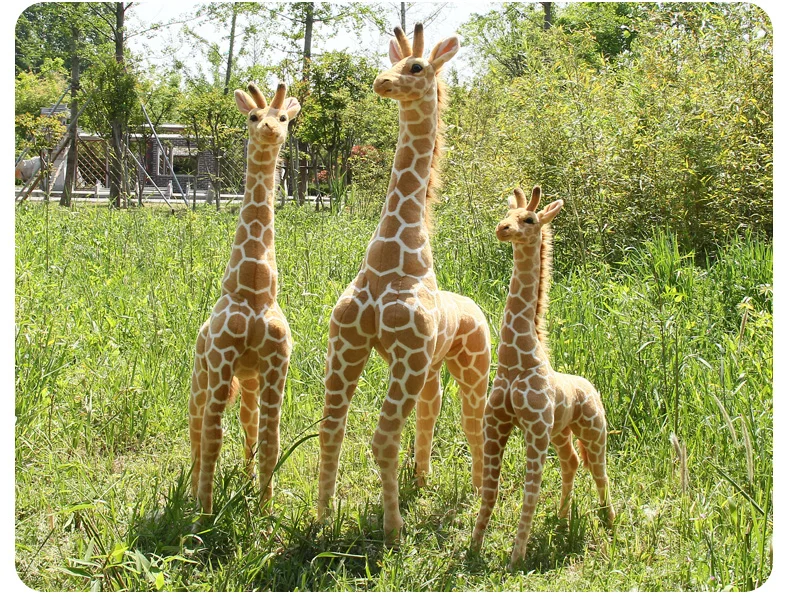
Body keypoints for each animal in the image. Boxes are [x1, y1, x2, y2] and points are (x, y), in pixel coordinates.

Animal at [188, 82, 301, 515]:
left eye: (284, 117)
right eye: (253, 116)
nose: (270, 129)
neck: (253, 291)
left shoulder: (275, 366)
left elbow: (271, 439)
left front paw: (265, 512)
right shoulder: (221, 362)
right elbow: (212, 438)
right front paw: (202, 516)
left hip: (249, 381)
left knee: (249, 428)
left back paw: (250, 483)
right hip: (200, 377)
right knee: (196, 430)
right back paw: (190, 493)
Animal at [316, 24, 491, 542]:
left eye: (416, 66)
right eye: (389, 60)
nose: (381, 82)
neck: (390, 260)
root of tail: (477, 307)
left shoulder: (403, 352)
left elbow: (381, 437)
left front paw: (393, 526)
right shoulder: (351, 343)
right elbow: (339, 430)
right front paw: (328, 516)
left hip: (464, 363)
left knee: (465, 421)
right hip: (422, 366)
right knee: (415, 415)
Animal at [470, 186, 615, 569]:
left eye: (530, 219)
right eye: (507, 213)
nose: (502, 229)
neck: (516, 361)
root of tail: (592, 387)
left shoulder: (534, 428)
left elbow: (530, 492)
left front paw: (516, 558)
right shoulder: (496, 424)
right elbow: (489, 490)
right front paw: (474, 547)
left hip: (593, 430)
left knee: (599, 471)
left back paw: (610, 523)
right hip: (561, 432)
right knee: (572, 463)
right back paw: (562, 519)